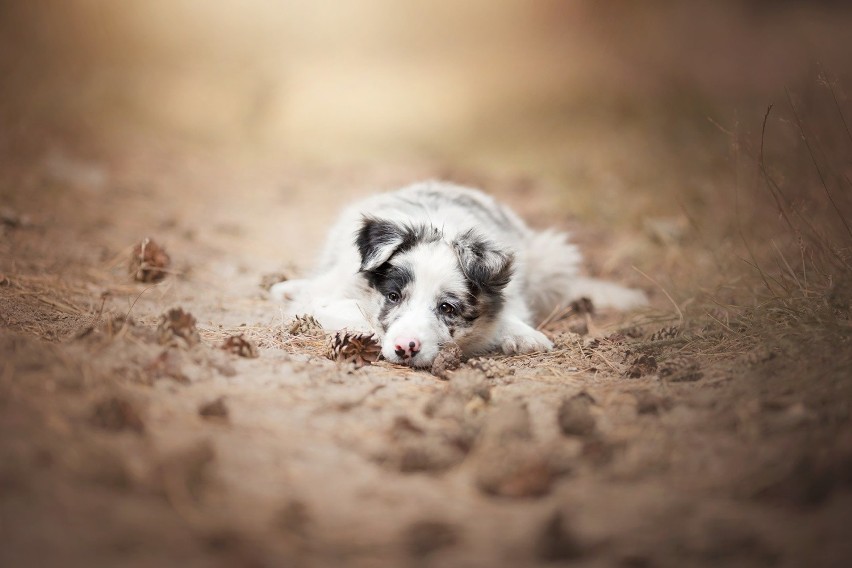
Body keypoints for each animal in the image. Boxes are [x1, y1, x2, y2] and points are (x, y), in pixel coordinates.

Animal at [270, 182, 644, 368]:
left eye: (447, 308)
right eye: (393, 296)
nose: (405, 348)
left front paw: (523, 335)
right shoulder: (329, 295)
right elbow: (349, 310)